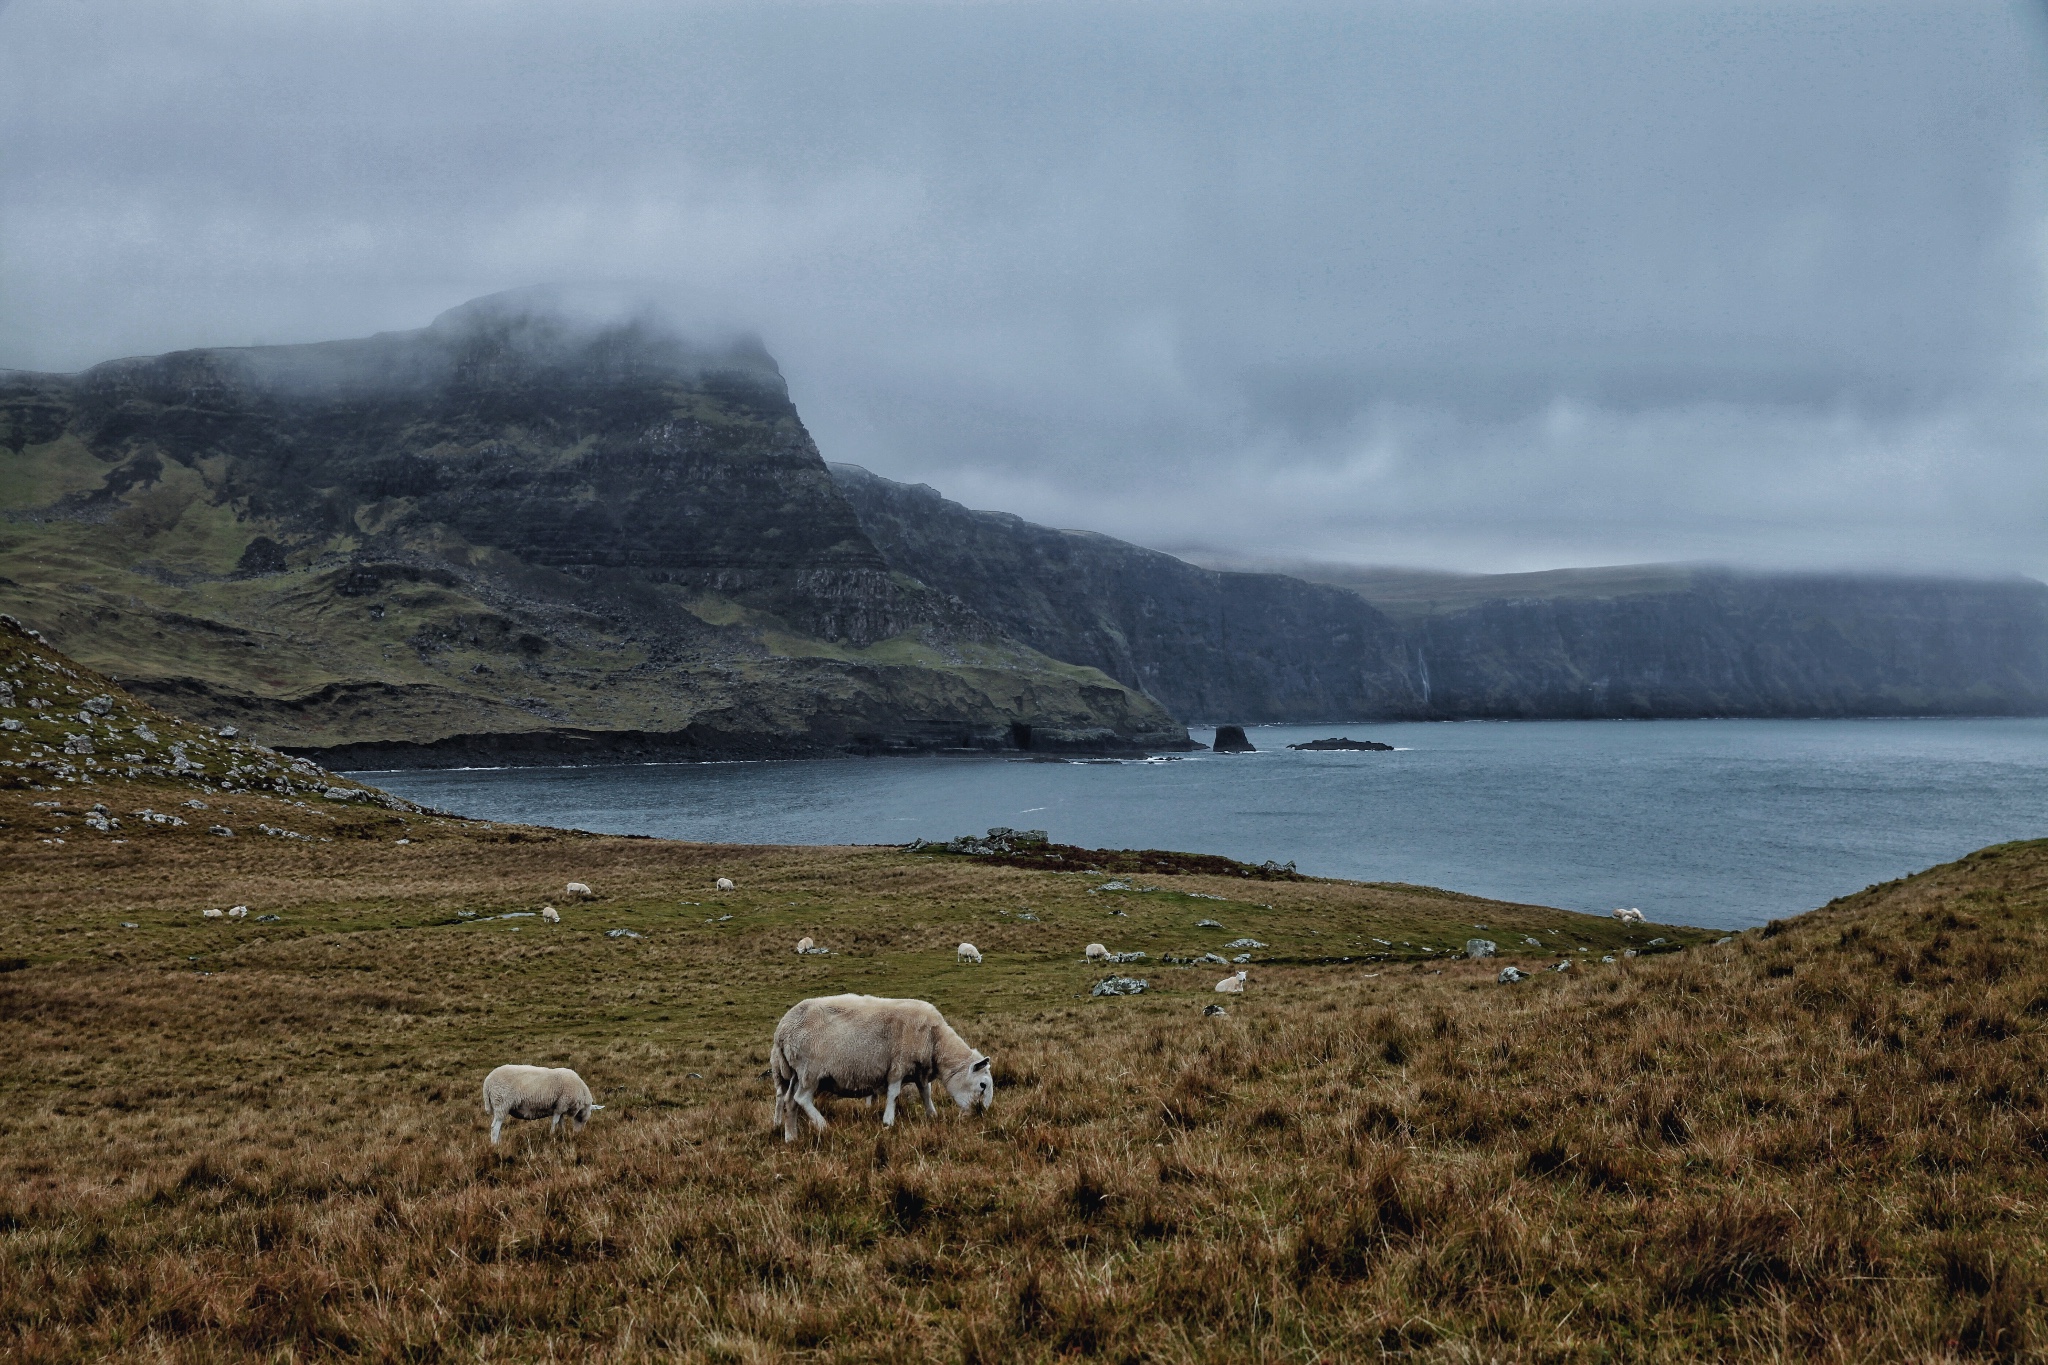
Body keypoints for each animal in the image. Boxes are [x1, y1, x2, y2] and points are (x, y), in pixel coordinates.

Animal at [770, 994, 995, 1146]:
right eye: (982, 1085)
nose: (980, 1115)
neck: (935, 1040)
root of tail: (783, 1029)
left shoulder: (919, 1070)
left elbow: (926, 1093)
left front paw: (932, 1115)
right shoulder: (898, 1065)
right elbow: (894, 1093)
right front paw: (888, 1121)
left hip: (796, 1072)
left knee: (790, 1101)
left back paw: (791, 1137)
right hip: (810, 1070)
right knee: (801, 1098)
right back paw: (823, 1125)